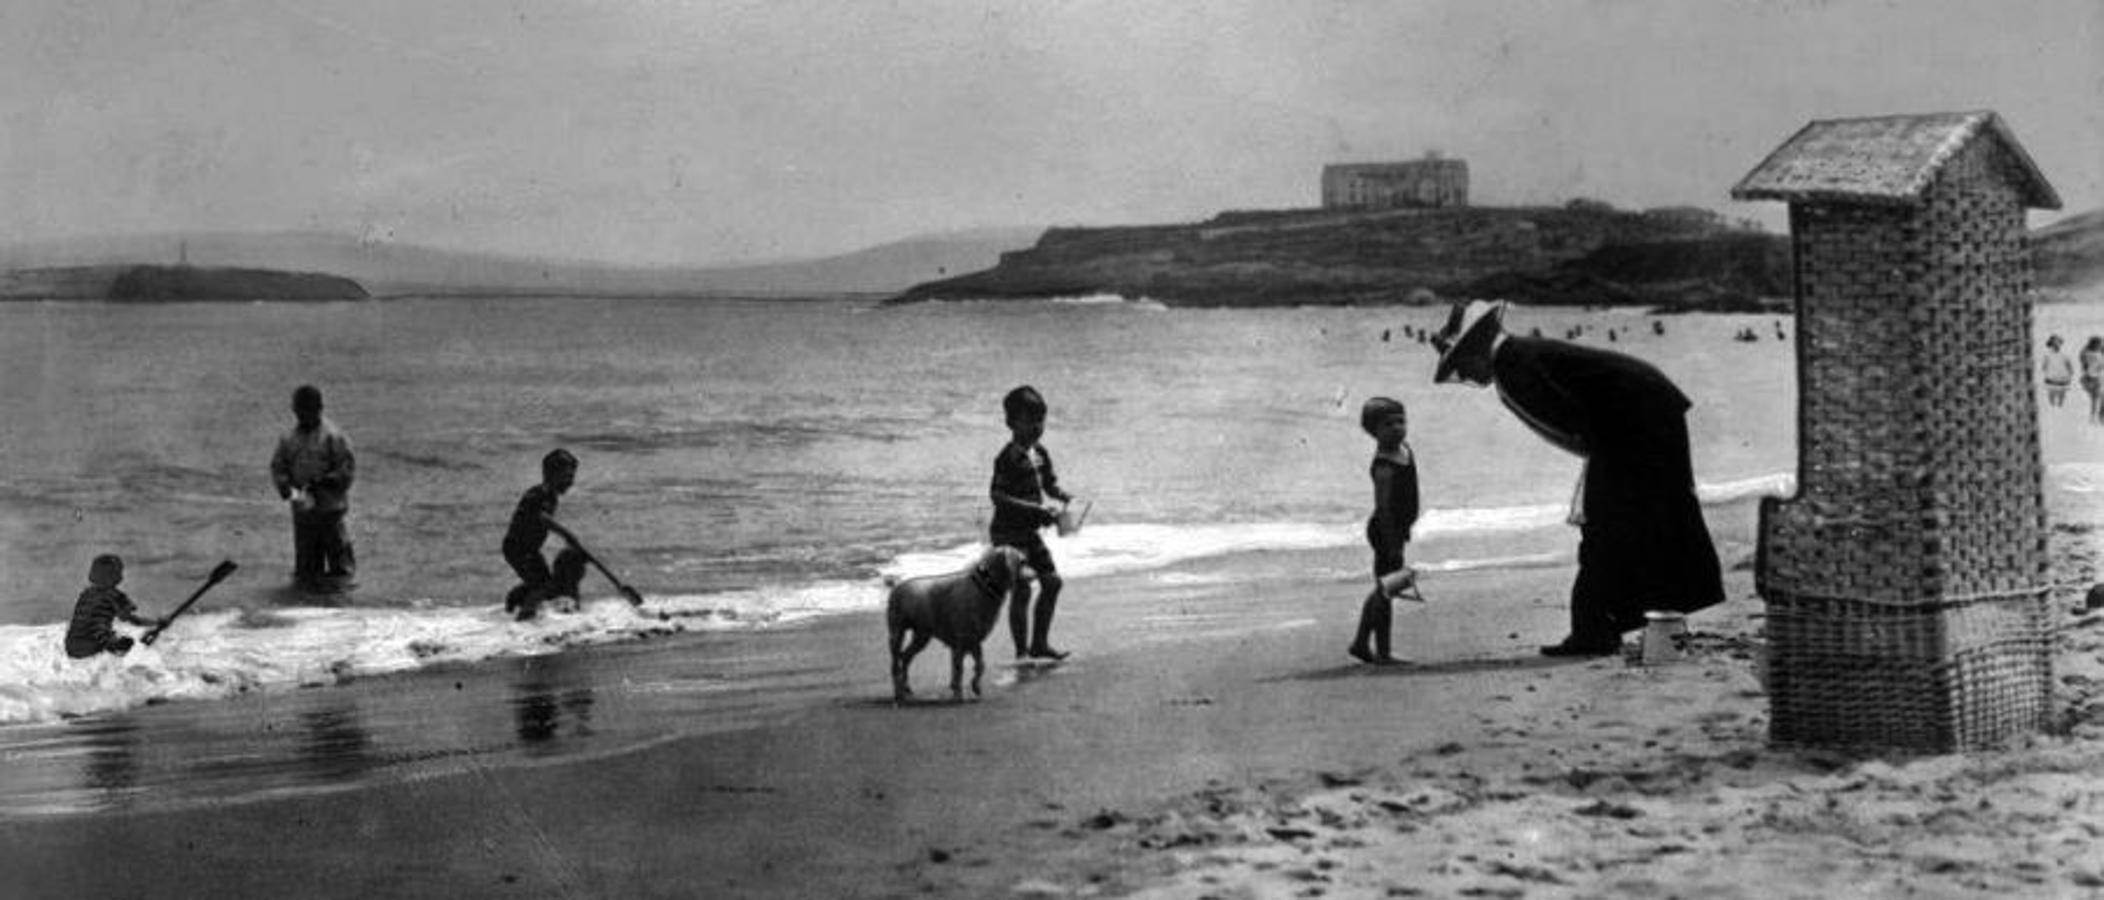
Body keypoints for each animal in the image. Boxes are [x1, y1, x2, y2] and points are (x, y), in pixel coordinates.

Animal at [883, 546, 1030, 706]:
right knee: (895, 665)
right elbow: (959, 670)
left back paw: (906, 688)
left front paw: (975, 687)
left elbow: (980, 665)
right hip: (897, 634)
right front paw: (958, 695)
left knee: (905, 657)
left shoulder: (974, 641)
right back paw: (898, 694)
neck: (984, 586)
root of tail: (896, 587)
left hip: (922, 637)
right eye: (1022, 562)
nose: (1034, 576)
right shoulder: (960, 642)